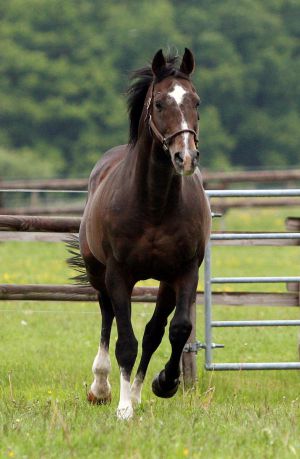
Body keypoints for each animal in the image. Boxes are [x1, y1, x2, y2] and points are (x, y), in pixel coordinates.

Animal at [75, 47, 211, 420]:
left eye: (196, 101)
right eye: (160, 103)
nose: (185, 157)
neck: (154, 204)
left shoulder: (185, 272)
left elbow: (176, 330)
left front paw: (165, 383)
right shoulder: (119, 274)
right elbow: (126, 341)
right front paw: (123, 408)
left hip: (164, 281)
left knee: (154, 331)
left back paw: (137, 392)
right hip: (98, 273)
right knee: (107, 316)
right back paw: (102, 387)